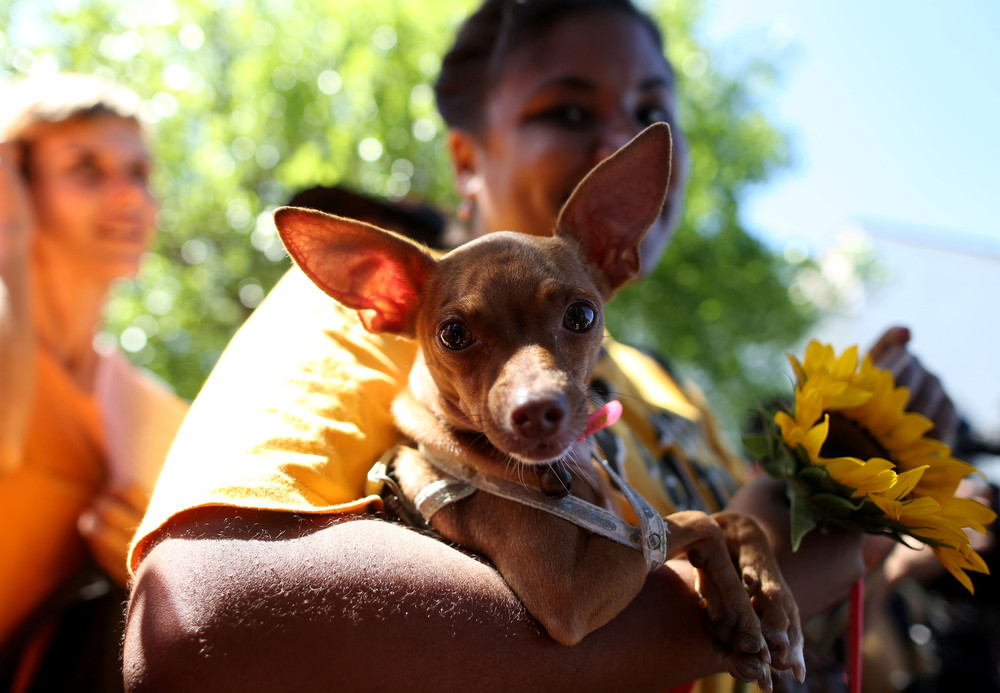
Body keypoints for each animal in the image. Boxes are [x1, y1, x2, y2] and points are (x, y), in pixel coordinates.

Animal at [274, 123, 804, 688]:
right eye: (453, 334)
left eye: (582, 316)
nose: (537, 410)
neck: (566, 473)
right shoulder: (569, 596)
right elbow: (696, 519)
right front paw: (739, 606)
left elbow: (732, 517)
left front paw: (770, 600)